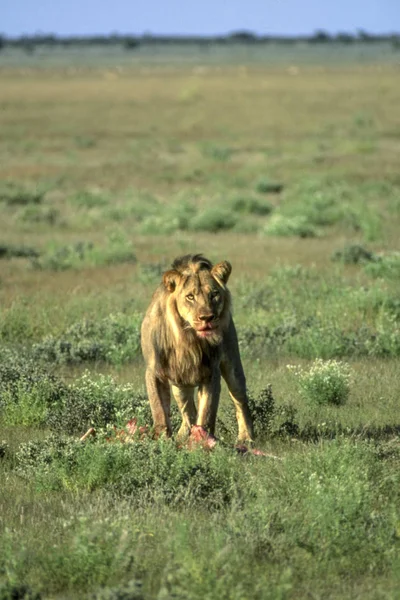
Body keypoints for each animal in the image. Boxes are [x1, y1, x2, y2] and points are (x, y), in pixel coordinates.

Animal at [141, 251, 253, 442]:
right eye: (190, 297)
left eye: (214, 294)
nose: (207, 318)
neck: (187, 339)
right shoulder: (154, 371)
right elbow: (159, 410)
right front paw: (162, 439)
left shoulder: (211, 373)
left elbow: (207, 412)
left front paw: (201, 441)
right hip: (179, 385)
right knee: (188, 412)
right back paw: (181, 437)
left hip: (233, 366)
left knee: (240, 399)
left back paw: (246, 439)